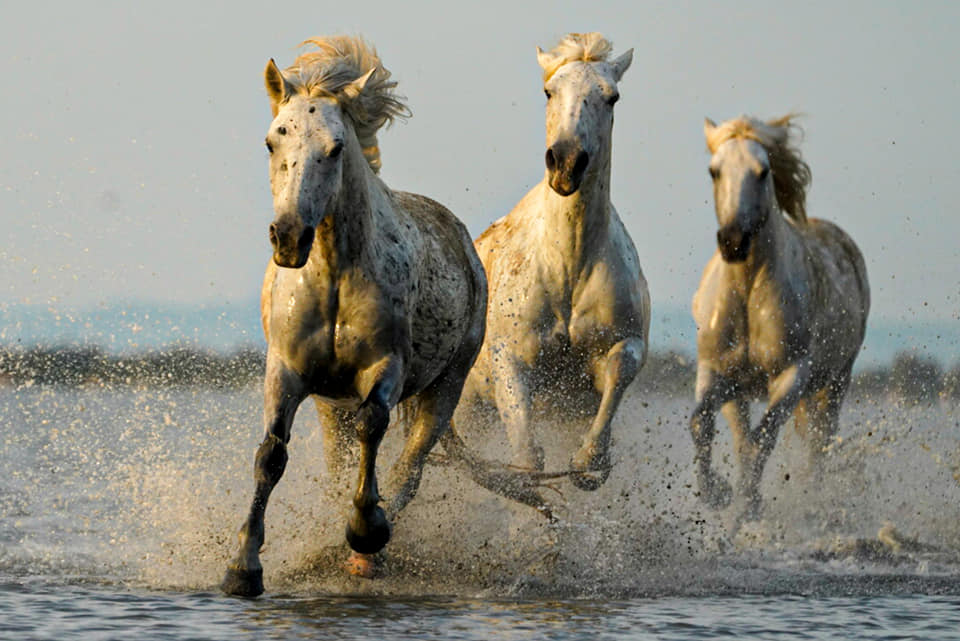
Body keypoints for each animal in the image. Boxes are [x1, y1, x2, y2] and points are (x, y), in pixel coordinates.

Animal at [219, 36, 488, 596]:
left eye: (336, 148)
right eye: (272, 142)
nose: (289, 237)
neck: (334, 277)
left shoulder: (385, 369)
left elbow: (374, 428)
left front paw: (365, 531)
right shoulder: (286, 372)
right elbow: (270, 454)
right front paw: (242, 567)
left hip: (447, 386)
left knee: (410, 466)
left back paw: (369, 555)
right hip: (329, 407)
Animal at [452, 33, 652, 516]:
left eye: (612, 97)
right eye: (549, 92)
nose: (566, 162)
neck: (567, 267)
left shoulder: (624, 346)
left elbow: (620, 370)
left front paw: (589, 463)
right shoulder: (510, 359)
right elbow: (527, 454)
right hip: (470, 408)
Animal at [688, 114, 872, 524]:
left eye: (763, 171)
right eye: (713, 171)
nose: (733, 241)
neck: (747, 291)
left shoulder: (791, 377)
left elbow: (762, 441)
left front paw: (748, 507)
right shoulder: (719, 374)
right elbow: (705, 425)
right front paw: (718, 493)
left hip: (836, 381)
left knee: (820, 443)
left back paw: (812, 497)